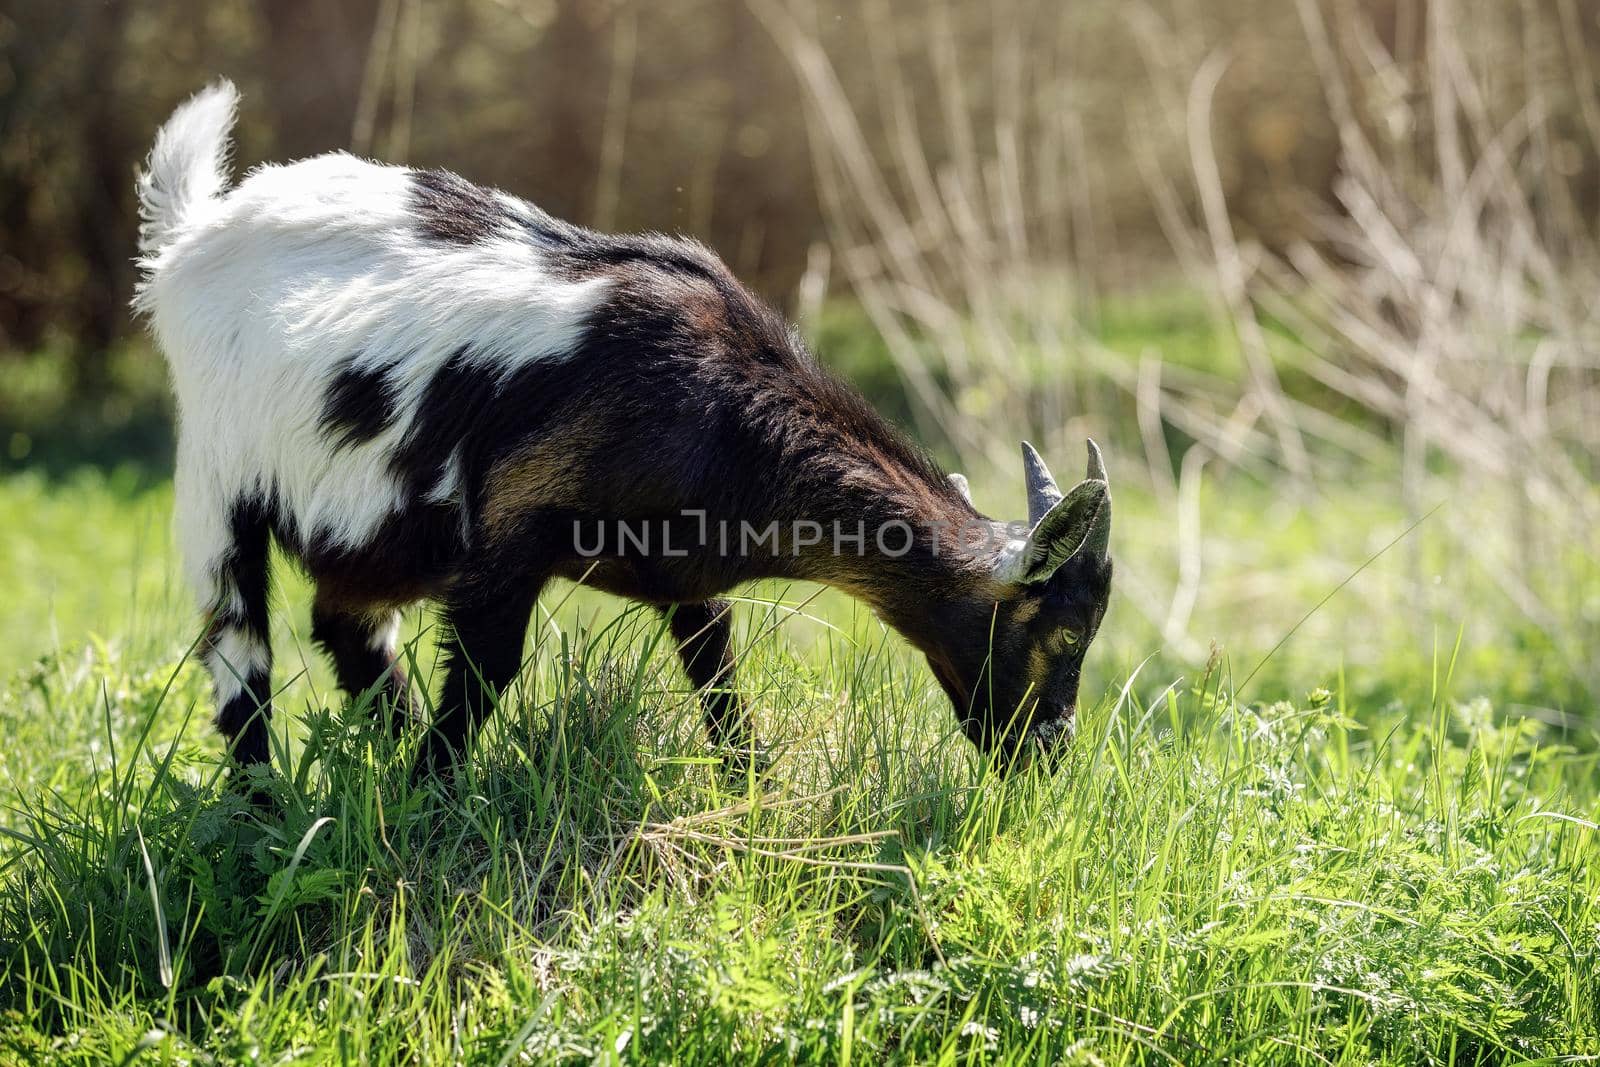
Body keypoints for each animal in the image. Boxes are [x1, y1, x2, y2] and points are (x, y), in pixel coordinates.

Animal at [134, 83, 1113, 780]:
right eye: (1061, 636)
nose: (1049, 755)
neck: (725, 409)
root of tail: (192, 234)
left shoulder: (682, 569)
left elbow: (717, 676)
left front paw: (750, 792)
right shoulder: (510, 534)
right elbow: (484, 674)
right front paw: (431, 800)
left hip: (376, 529)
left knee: (344, 623)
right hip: (217, 484)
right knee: (241, 660)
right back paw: (263, 812)